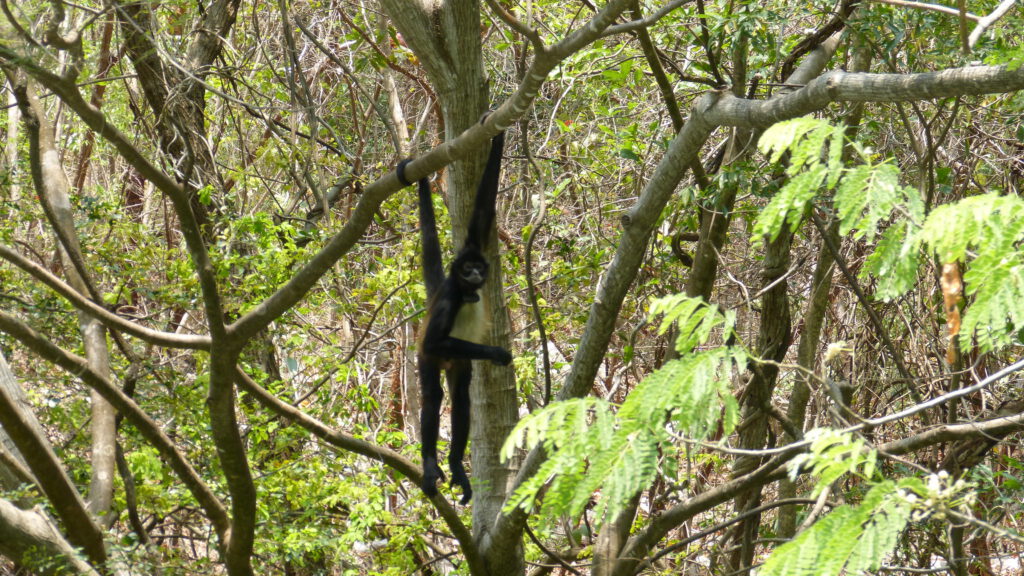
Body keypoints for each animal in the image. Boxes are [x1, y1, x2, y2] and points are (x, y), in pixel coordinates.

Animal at [397, 127, 512, 500]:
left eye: (477, 266)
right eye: (466, 270)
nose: (475, 275)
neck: (465, 293)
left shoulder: (474, 242)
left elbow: (482, 210)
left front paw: (497, 136)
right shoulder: (448, 299)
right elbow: (436, 341)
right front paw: (495, 352)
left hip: (459, 365)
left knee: (461, 400)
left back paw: (456, 464)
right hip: (428, 359)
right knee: (433, 398)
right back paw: (431, 463)